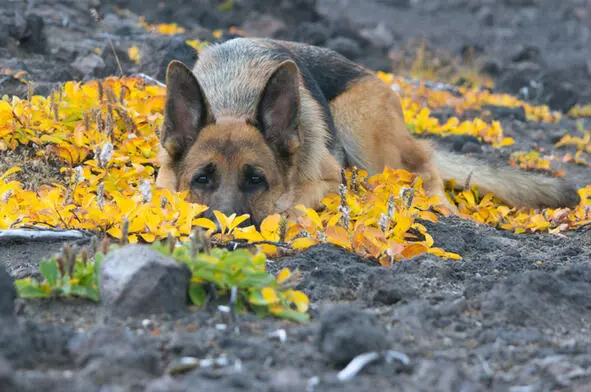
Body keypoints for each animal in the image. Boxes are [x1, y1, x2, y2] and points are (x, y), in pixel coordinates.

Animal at [154, 38, 584, 225]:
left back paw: (439, 206)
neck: (235, 100)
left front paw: (287, 214)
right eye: (201, 179)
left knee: (424, 165)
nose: (225, 229)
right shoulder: (163, 178)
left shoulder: (330, 179)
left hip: (360, 128)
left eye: (256, 180)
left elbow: (297, 200)